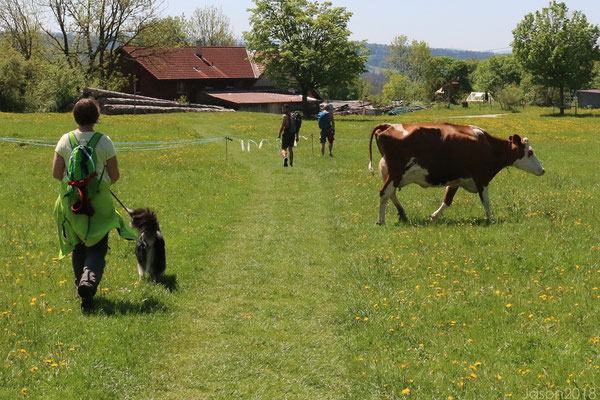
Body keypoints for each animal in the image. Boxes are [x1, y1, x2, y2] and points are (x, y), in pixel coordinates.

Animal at [368, 123, 548, 223]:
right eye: (530, 152)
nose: (543, 170)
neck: (488, 145)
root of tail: (388, 126)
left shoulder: (456, 180)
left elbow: (447, 201)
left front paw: (433, 217)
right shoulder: (481, 178)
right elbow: (486, 201)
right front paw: (491, 218)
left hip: (392, 174)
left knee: (391, 194)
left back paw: (402, 214)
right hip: (396, 173)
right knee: (384, 193)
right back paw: (381, 221)